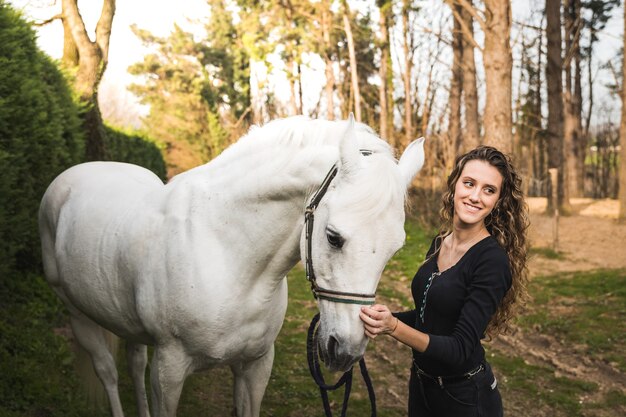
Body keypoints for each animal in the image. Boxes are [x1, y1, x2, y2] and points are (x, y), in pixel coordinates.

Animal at [36, 114, 422, 416]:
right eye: (333, 237)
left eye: (394, 249)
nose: (345, 351)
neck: (226, 253)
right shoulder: (169, 370)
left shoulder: (255, 365)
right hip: (78, 314)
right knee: (108, 373)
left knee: (133, 362)